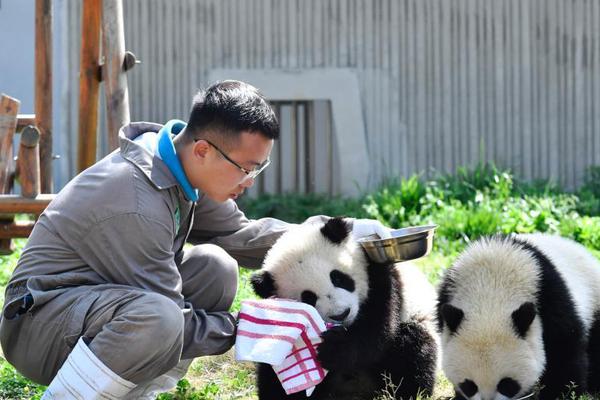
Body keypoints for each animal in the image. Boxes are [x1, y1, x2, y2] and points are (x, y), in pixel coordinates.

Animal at [248, 217, 440, 398]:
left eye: (338, 278)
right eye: (309, 298)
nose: (341, 314)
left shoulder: (379, 273)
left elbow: (377, 330)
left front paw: (333, 349)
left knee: (414, 347)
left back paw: (404, 391)